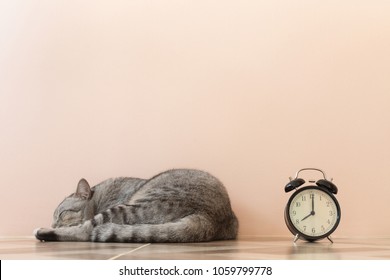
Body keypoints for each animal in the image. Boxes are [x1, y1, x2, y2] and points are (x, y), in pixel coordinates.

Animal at [34, 168, 238, 243]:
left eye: (61, 214)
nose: (53, 224)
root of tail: (211, 216)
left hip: (131, 208)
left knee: (85, 230)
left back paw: (43, 232)